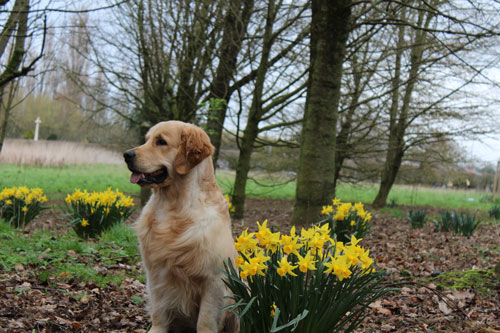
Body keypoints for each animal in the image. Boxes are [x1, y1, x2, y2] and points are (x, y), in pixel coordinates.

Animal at [122, 120, 237, 332]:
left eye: (161, 141)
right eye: (146, 139)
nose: (127, 154)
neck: (174, 206)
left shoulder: (214, 279)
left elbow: (206, 320)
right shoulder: (155, 273)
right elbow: (159, 311)